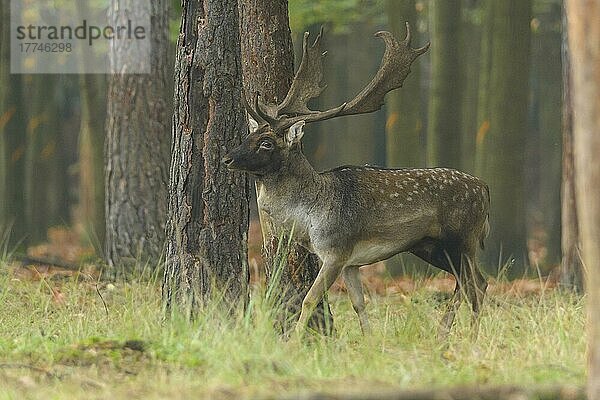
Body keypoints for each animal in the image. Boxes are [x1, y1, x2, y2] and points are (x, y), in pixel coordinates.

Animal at [223, 23, 490, 336]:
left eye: (266, 143)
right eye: (249, 135)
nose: (227, 158)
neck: (308, 221)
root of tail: (485, 189)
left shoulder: (336, 251)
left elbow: (310, 299)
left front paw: (294, 340)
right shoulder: (351, 262)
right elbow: (358, 304)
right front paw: (369, 339)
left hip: (463, 238)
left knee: (477, 285)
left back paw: (469, 338)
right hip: (430, 246)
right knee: (469, 282)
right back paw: (443, 335)